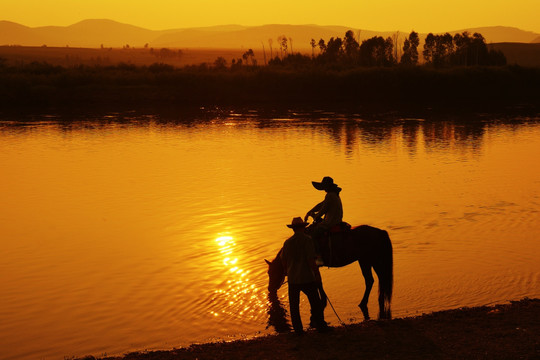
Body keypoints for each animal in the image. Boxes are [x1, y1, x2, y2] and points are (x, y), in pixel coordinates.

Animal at [264, 224, 392, 320]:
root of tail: (379, 232)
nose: (270, 289)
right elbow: (318, 282)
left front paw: (321, 301)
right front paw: (323, 299)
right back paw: (379, 298)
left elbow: (317, 283)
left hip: (367, 261)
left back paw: (363, 302)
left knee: (371, 280)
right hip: (370, 261)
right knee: (379, 279)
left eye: (271, 273)